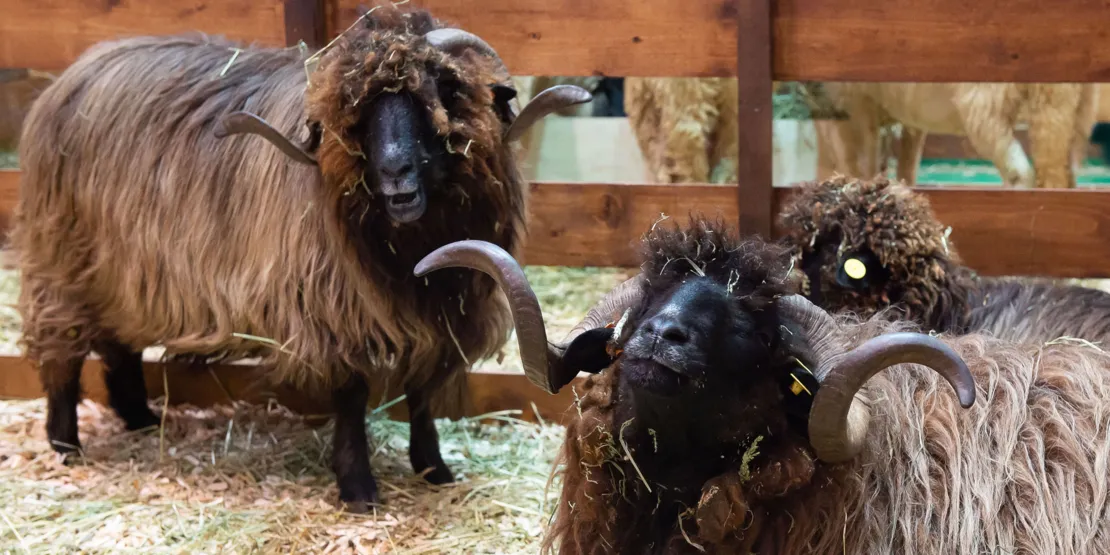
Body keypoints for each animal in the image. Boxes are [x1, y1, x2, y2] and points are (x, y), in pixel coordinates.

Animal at [11, 5, 590, 511]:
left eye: (442, 93)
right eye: (356, 115)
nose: (394, 177)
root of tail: (73, 73)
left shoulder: (443, 313)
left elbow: (422, 392)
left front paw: (434, 469)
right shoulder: (334, 310)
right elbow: (353, 397)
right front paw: (358, 489)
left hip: (121, 272)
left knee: (117, 344)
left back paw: (138, 418)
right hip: (62, 260)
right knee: (63, 352)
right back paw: (65, 445)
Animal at [816, 82, 1098, 188]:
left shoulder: (846, 104)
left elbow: (852, 168)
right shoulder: (906, 118)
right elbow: (904, 169)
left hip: (983, 101)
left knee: (1021, 173)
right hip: (1061, 102)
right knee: (1058, 176)